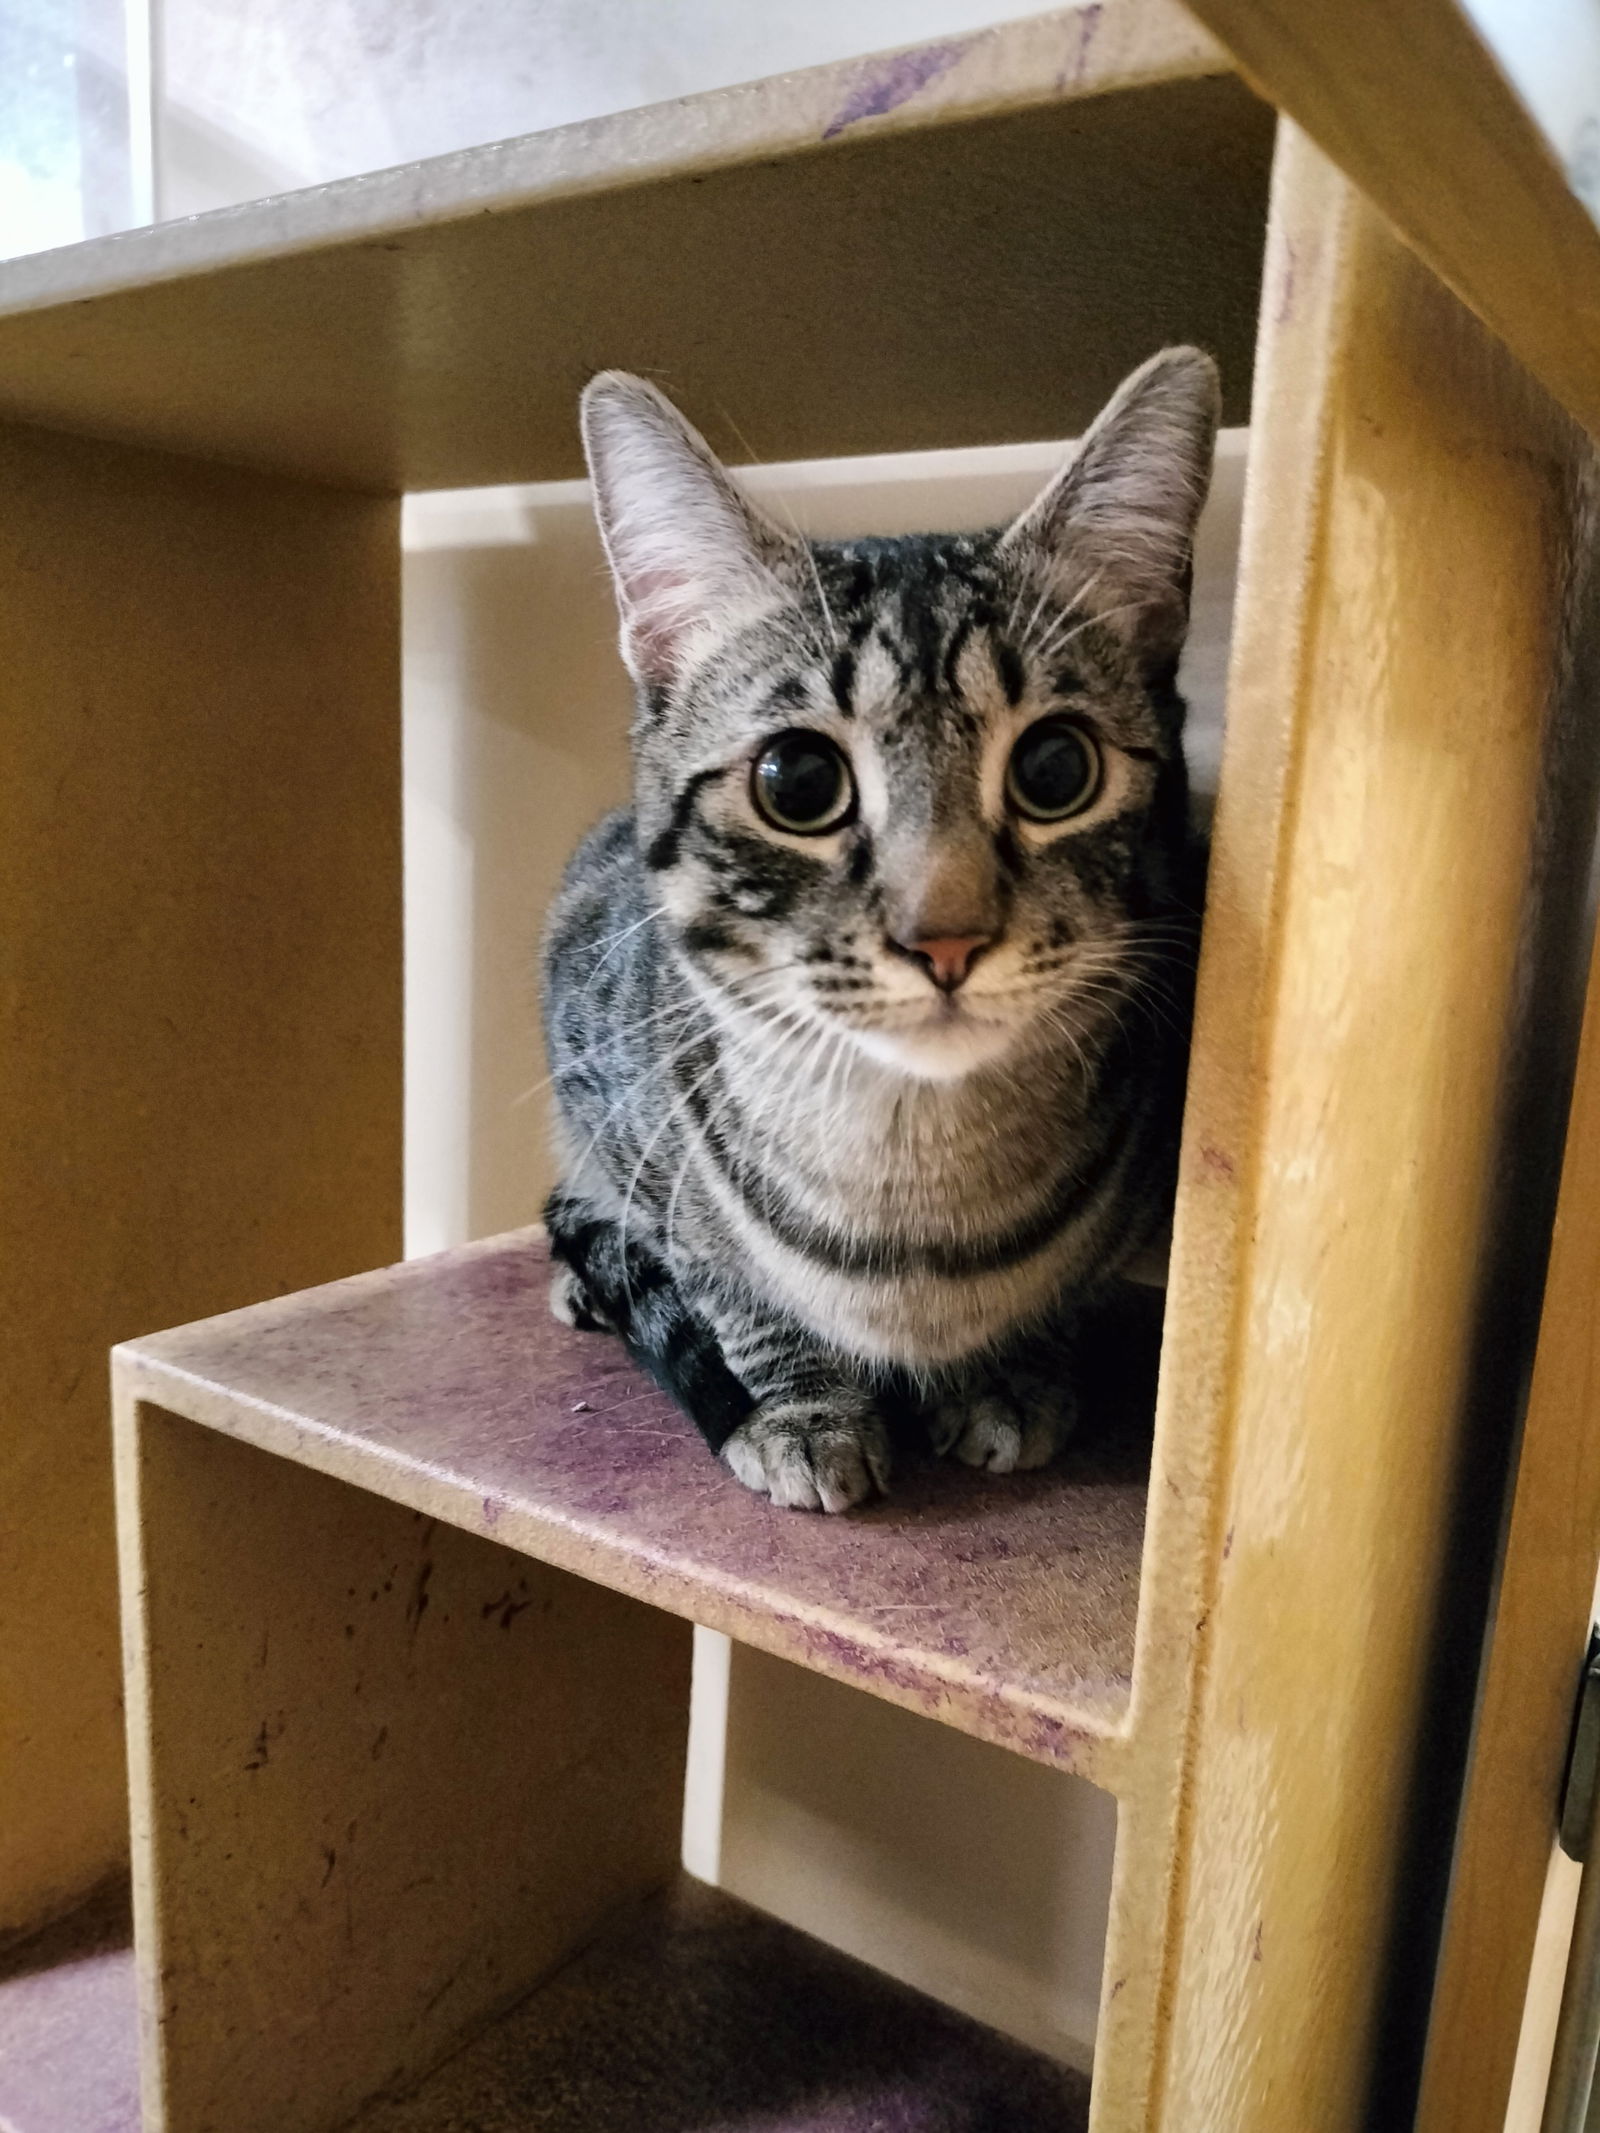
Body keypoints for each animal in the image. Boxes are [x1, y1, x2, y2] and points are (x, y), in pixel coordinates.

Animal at [539, 349, 1211, 1510]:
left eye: (1056, 769)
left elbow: (1062, 1298)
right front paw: (804, 1406)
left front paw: (1010, 1375)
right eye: (797, 782)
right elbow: (724, 1284)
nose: (944, 938)